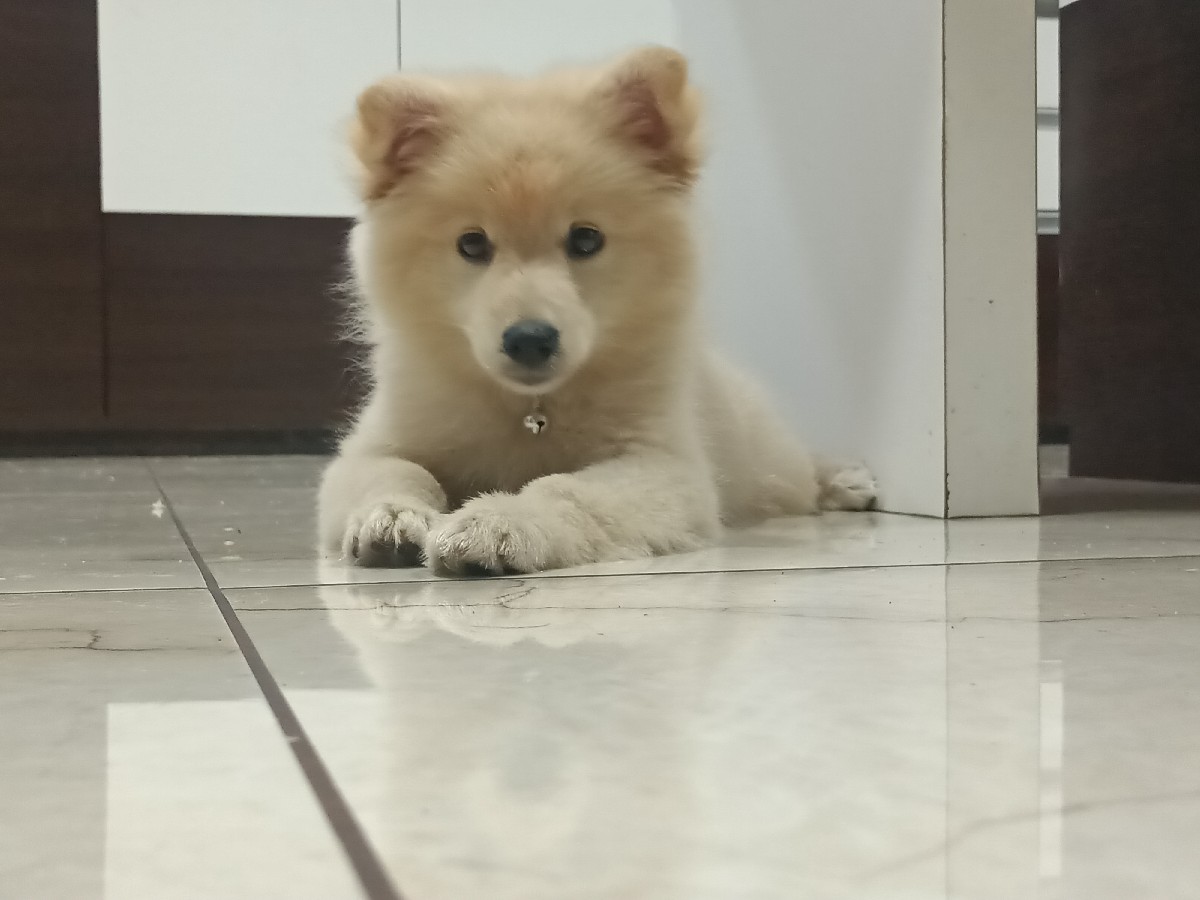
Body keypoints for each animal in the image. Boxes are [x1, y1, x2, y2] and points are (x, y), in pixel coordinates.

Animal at [318, 45, 876, 575]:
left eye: (586, 239)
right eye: (471, 244)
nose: (529, 338)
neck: (532, 410)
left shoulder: (659, 463)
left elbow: (566, 489)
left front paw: (500, 522)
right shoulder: (379, 442)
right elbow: (395, 471)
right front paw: (390, 517)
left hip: (764, 459)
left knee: (801, 471)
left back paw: (847, 480)